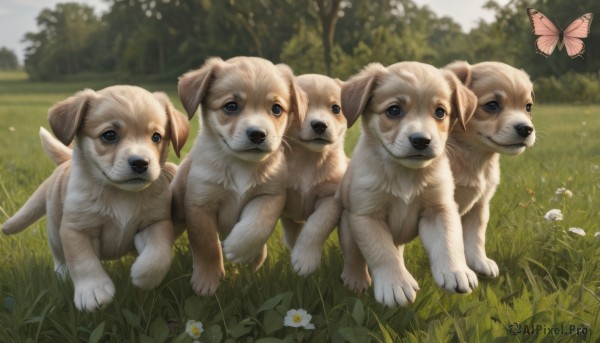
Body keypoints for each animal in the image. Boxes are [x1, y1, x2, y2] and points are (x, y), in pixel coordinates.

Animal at [1, 85, 189, 312]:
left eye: (156, 137)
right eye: (109, 135)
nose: (141, 163)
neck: (120, 194)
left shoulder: (155, 222)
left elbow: (159, 252)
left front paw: (144, 275)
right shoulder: (76, 229)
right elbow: (82, 261)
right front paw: (93, 291)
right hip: (54, 230)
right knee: (60, 258)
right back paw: (63, 276)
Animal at [172, 55, 304, 296]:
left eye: (276, 109)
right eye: (231, 106)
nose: (258, 134)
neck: (240, 165)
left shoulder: (270, 195)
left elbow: (259, 224)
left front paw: (238, 248)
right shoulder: (200, 203)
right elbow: (207, 245)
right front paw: (207, 282)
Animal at [280, 74, 346, 276]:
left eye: (335, 108)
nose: (320, 125)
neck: (308, 160)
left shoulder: (330, 197)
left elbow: (316, 225)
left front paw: (305, 258)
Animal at [340, 62, 480, 310]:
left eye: (440, 112)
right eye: (394, 110)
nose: (421, 140)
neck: (405, 175)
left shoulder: (439, 209)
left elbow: (448, 241)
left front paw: (456, 271)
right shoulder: (366, 215)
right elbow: (382, 252)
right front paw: (395, 284)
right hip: (347, 224)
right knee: (354, 256)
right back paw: (355, 279)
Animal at [442, 60, 536, 278]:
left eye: (528, 107)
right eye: (492, 105)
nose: (526, 129)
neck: (474, 158)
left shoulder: (480, 204)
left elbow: (476, 236)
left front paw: (479, 262)